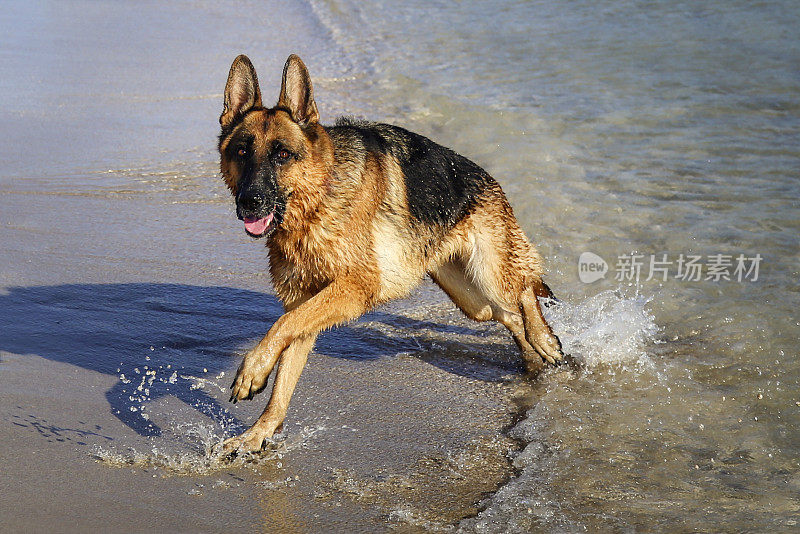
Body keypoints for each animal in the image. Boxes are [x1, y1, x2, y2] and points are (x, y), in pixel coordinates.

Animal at [216, 54, 560, 454]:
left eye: (283, 155)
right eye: (242, 152)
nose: (249, 202)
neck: (319, 198)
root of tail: (489, 180)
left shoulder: (355, 287)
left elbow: (281, 326)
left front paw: (252, 370)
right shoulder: (305, 302)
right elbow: (286, 361)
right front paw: (259, 432)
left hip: (490, 273)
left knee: (524, 289)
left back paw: (544, 339)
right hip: (471, 299)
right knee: (507, 314)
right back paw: (532, 359)